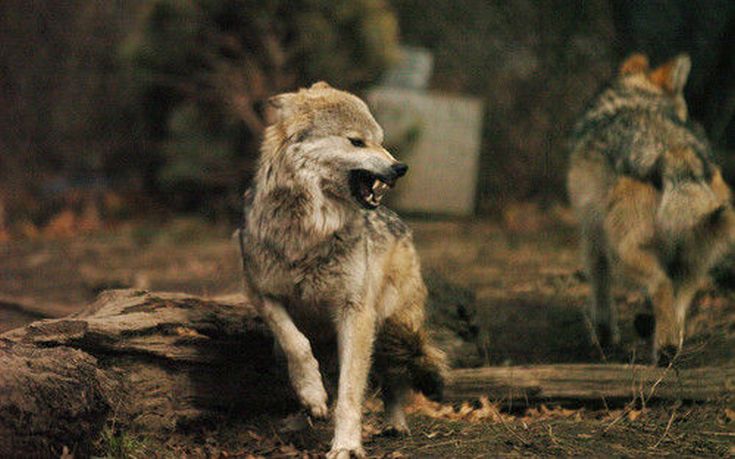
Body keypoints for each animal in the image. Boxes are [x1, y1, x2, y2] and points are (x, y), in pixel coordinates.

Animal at [242, 81, 446, 458]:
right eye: (356, 142)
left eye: (380, 139)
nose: (400, 167)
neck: (310, 230)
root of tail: (399, 221)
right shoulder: (260, 292)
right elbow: (297, 344)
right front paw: (312, 395)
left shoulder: (356, 311)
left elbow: (351, 391)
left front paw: (347, 445)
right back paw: (301, 417)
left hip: (394, 325)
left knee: (394, 379)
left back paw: (395, 424)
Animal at [568, 53, 735, 366]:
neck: (637, 95)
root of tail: (674, 151)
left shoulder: (592, 235)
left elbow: (599, 285)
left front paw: (604, 334)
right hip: (695, 260)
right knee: (677, 299)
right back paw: (667, 346)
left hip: (623, 251)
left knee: (660, 285)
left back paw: (665, 348)